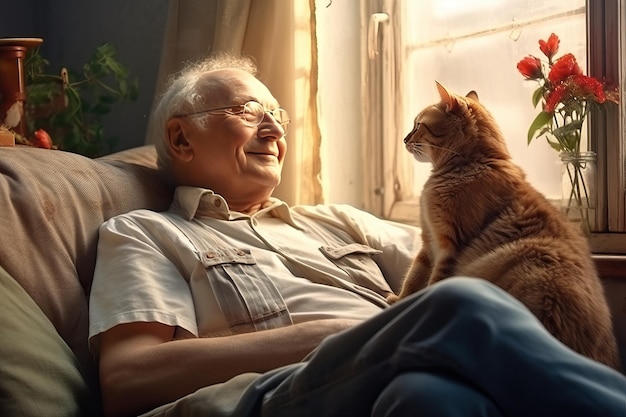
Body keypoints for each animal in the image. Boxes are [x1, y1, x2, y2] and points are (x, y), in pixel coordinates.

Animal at [386, 80, 620, 368]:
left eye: (418, 125)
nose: (405, 139)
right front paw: (399, 302)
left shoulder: (448, 248)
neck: (471, 165)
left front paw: (412, 309)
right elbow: (413, 279)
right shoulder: (429, 244)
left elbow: (431, 286)